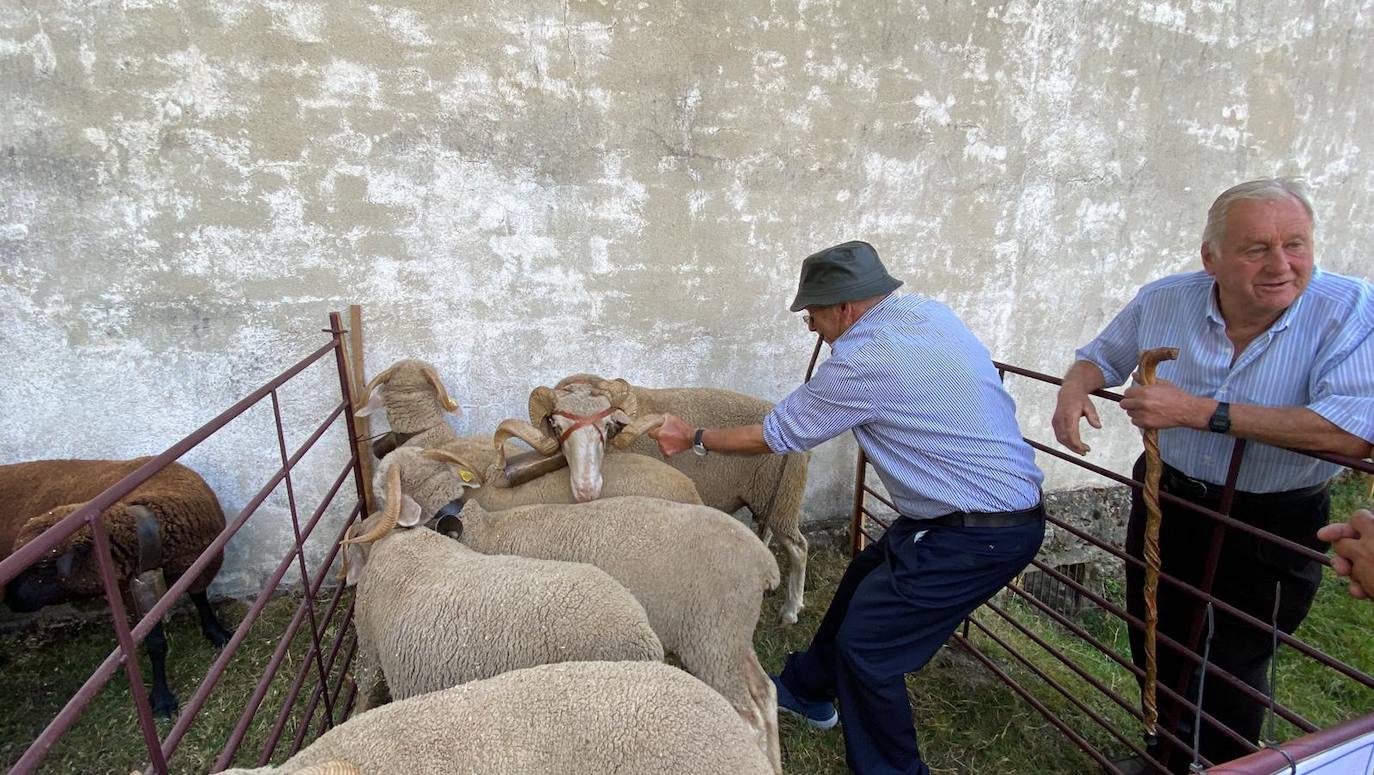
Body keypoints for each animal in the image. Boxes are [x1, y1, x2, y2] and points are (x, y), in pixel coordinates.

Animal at [0, 456, 233, 720]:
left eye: (41, 567)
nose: (11, 600)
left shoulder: (200, 565)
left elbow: (200, 599)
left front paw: (217, 633)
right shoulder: (132, 592)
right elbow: (155, 642)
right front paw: (162, 699)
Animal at [453, 497, 785, 775]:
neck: (491, 530)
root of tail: (765, 564)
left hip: (712, 638)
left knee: (750, 716)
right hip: (732, 634)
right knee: (765, 691)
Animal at [541, 373, 807, 623]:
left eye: (607, 425)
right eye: (556, 426)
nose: (586, 489)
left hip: (785, 497)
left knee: (799, 549)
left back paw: (791, 610)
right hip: (769, 495)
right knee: (767, 528)